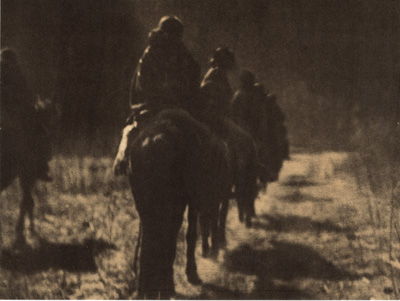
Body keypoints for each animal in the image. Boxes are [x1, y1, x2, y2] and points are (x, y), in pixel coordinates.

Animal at [0, 95, 57, 245]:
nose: (48, 155)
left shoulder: (25, 175)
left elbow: (26, 202)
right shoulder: (27, 173)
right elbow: (28, 202)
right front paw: (28, 233)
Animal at [128, 108, 256, 298]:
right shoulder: (200, 197)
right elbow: (195, 230)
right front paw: (195, 270)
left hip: (147, 201)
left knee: (154, 237)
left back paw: (148, 288)